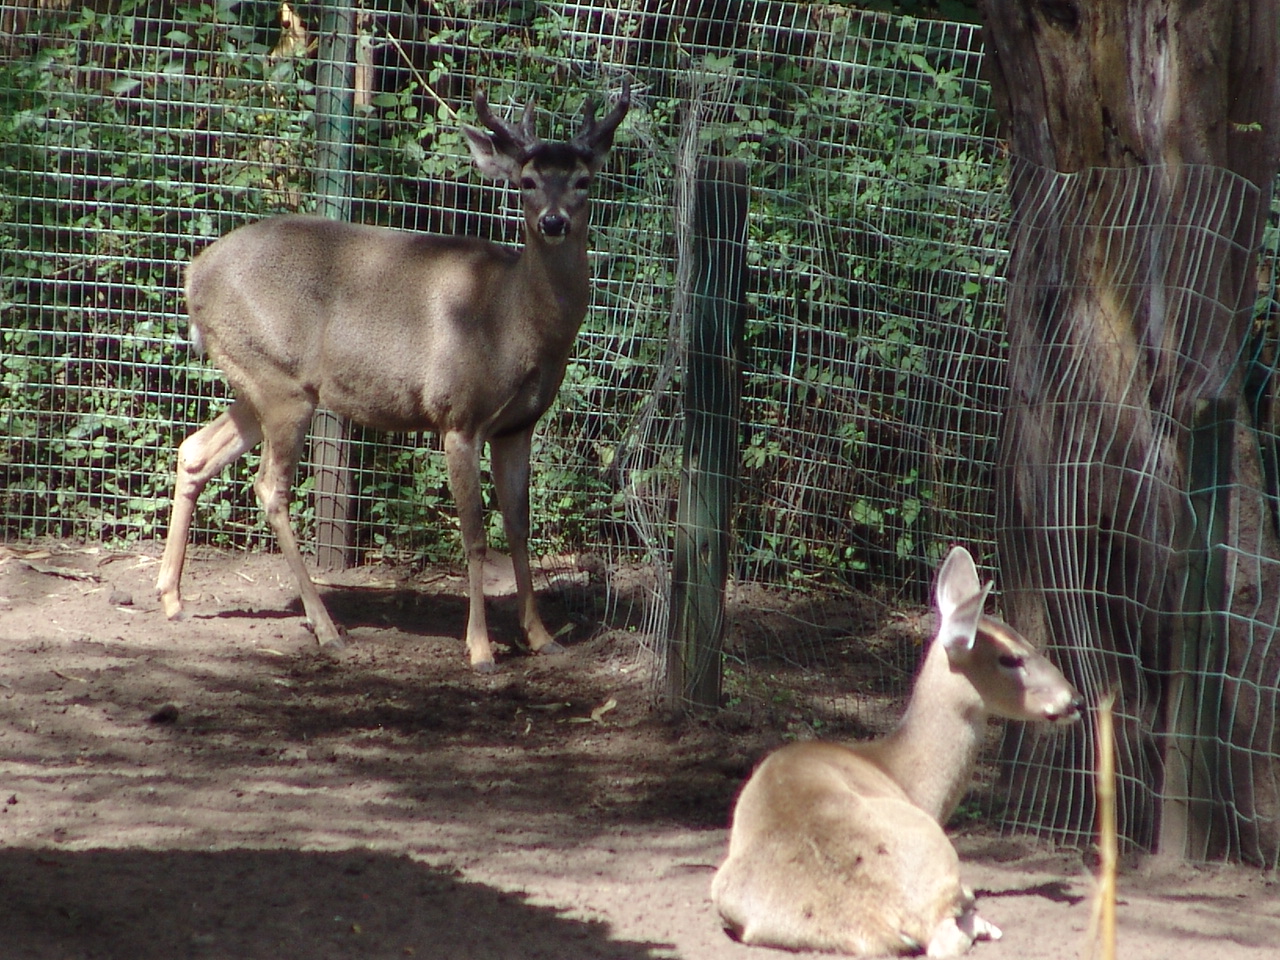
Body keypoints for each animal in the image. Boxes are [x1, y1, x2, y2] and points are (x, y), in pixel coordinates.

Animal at [154, 82, 630, 673]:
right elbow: (476, 537)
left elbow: (520, 529)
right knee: (270, 486)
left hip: (261, 379)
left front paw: (542, 638)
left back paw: (172, 597)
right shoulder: (458, 415)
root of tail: (193, 274)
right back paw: (326, 629)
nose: (554, 222)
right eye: (527, 182)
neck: (511, 319)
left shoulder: (518, 425)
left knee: (195, 450)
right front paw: (480, 649)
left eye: (584, 181)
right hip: (280, 384)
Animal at [710, 545, 1083, 957]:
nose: (1074, 700)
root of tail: (883, 917)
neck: (897, 769)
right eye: (1011, 658)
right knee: (948, 937)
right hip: (935, 847)